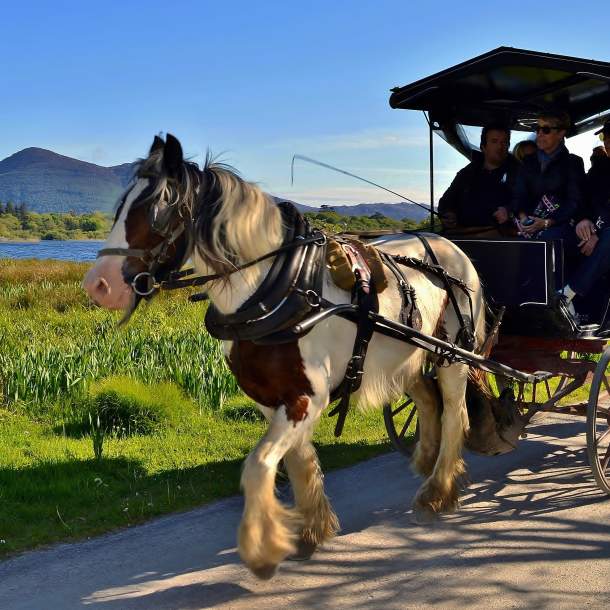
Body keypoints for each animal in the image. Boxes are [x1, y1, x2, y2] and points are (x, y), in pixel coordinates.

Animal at [84, 133, 484, 576]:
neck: (276, 288)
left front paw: (263, 548)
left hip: (454, 356)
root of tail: (451, 245)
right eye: (120, 207)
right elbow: (297, 459)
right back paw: (426, 463)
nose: (98, 284)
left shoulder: (308, 396)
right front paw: (312, 527)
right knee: (429, 402)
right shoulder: (270, 397)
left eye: (157, 211)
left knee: (454, 414)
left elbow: (259, 465)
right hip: (407, 358)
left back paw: (438, 490)